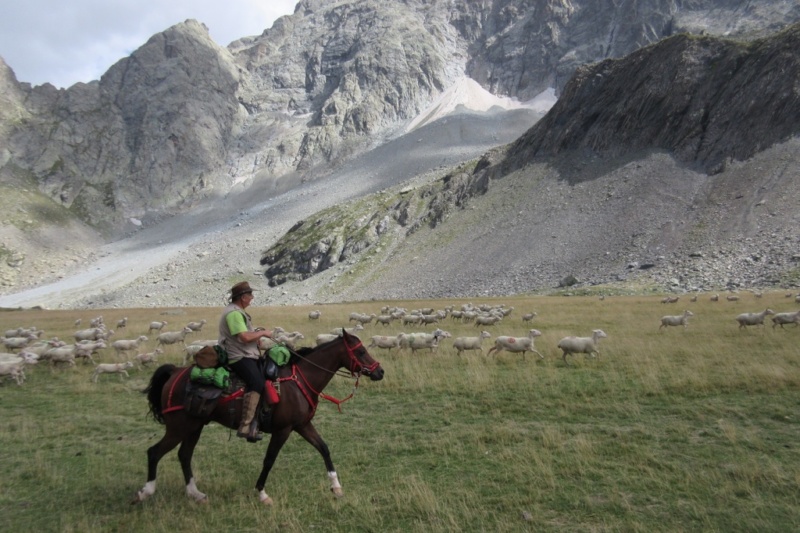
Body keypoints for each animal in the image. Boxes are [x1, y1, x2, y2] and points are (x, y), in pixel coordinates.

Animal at [132, 330, 384, 504]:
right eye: (361, 351)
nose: (380, 372)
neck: (299, 380)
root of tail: (175, 372)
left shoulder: (302, 425)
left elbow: (324, 448)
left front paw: (336, 486)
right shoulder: (283, 430)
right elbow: (269, 459)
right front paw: (262, 493)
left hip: (195, 426)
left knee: (184, 455)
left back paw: (196, 494)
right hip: (178, 427)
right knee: (154, 452)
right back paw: (145, 492)